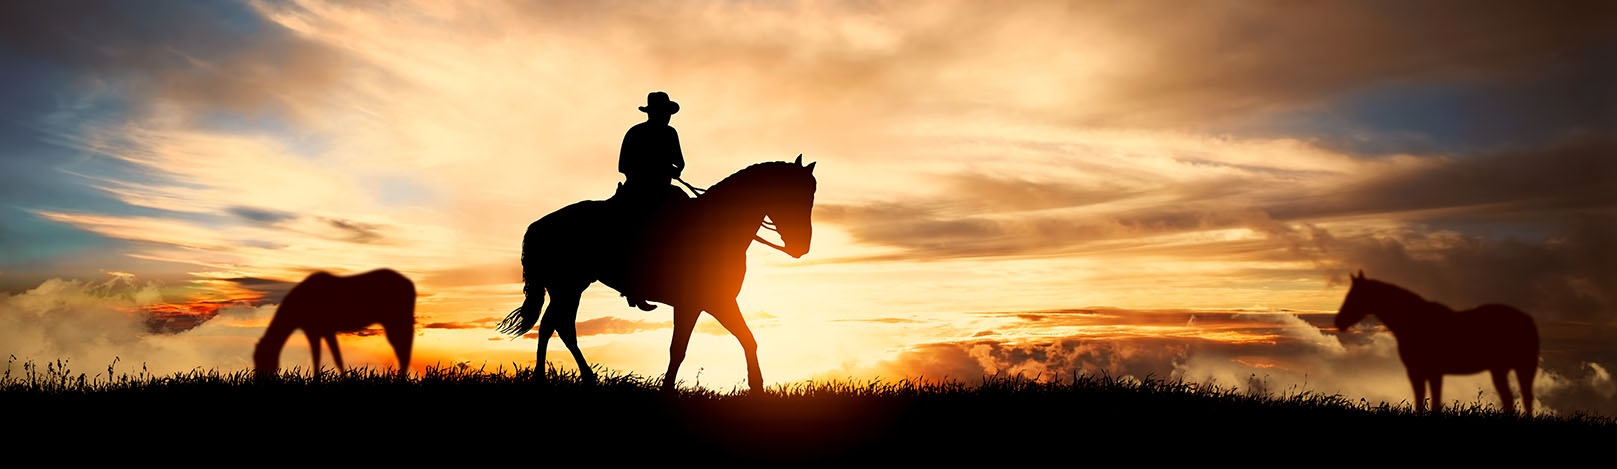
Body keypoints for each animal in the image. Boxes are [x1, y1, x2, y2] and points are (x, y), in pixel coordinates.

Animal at [252, 270, 417, 378]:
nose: (259, 380)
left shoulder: (322, 331)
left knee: (403, 349)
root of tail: (410, 284)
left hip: (396, 321)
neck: (301, 303)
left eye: (262, 359)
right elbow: (325, 358)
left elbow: (329, 358)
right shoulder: (318, 332)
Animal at [498, 156, 814, 391]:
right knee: (560, 327)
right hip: (568, 286)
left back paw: (559, 378)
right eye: (792, 196)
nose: (802, 247)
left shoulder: (718, 302)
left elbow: (747, 339)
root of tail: (540, 224)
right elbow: (679, 349)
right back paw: (566, 378)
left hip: (568, 287)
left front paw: (757, 389)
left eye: (811, 197)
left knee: (552, 326)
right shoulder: (695, 304)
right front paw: (667, 390)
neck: (718, 227)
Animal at [1332, 270, 1545, 417]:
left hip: (1521, 367)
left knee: (1521, 398)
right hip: (1506, 370)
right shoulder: (1424, 372)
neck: (1414, 322)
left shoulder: (1426, 372)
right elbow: (1425, 400)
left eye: (1353, 297)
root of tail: (1527, 319)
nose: (1338, 322)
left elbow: (1429, 401)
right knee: (1514, 399)